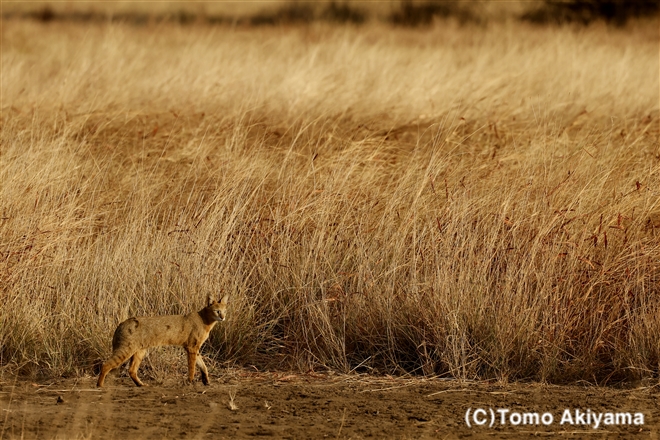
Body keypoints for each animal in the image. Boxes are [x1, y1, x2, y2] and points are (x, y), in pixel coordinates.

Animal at [95, 296, 229, 388]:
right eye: (217, 311)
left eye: (225, 310)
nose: (223, 317)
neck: (205, 320)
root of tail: (121, 323)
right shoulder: (191, 347)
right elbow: (192, 367)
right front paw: (190, 381)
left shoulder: (194, 348)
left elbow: (203, 366)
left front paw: (206, 381)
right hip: (126, 350)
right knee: (106, 364)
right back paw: (100, 385)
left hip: (139, 351)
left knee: (131, 370)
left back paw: (141, 384)